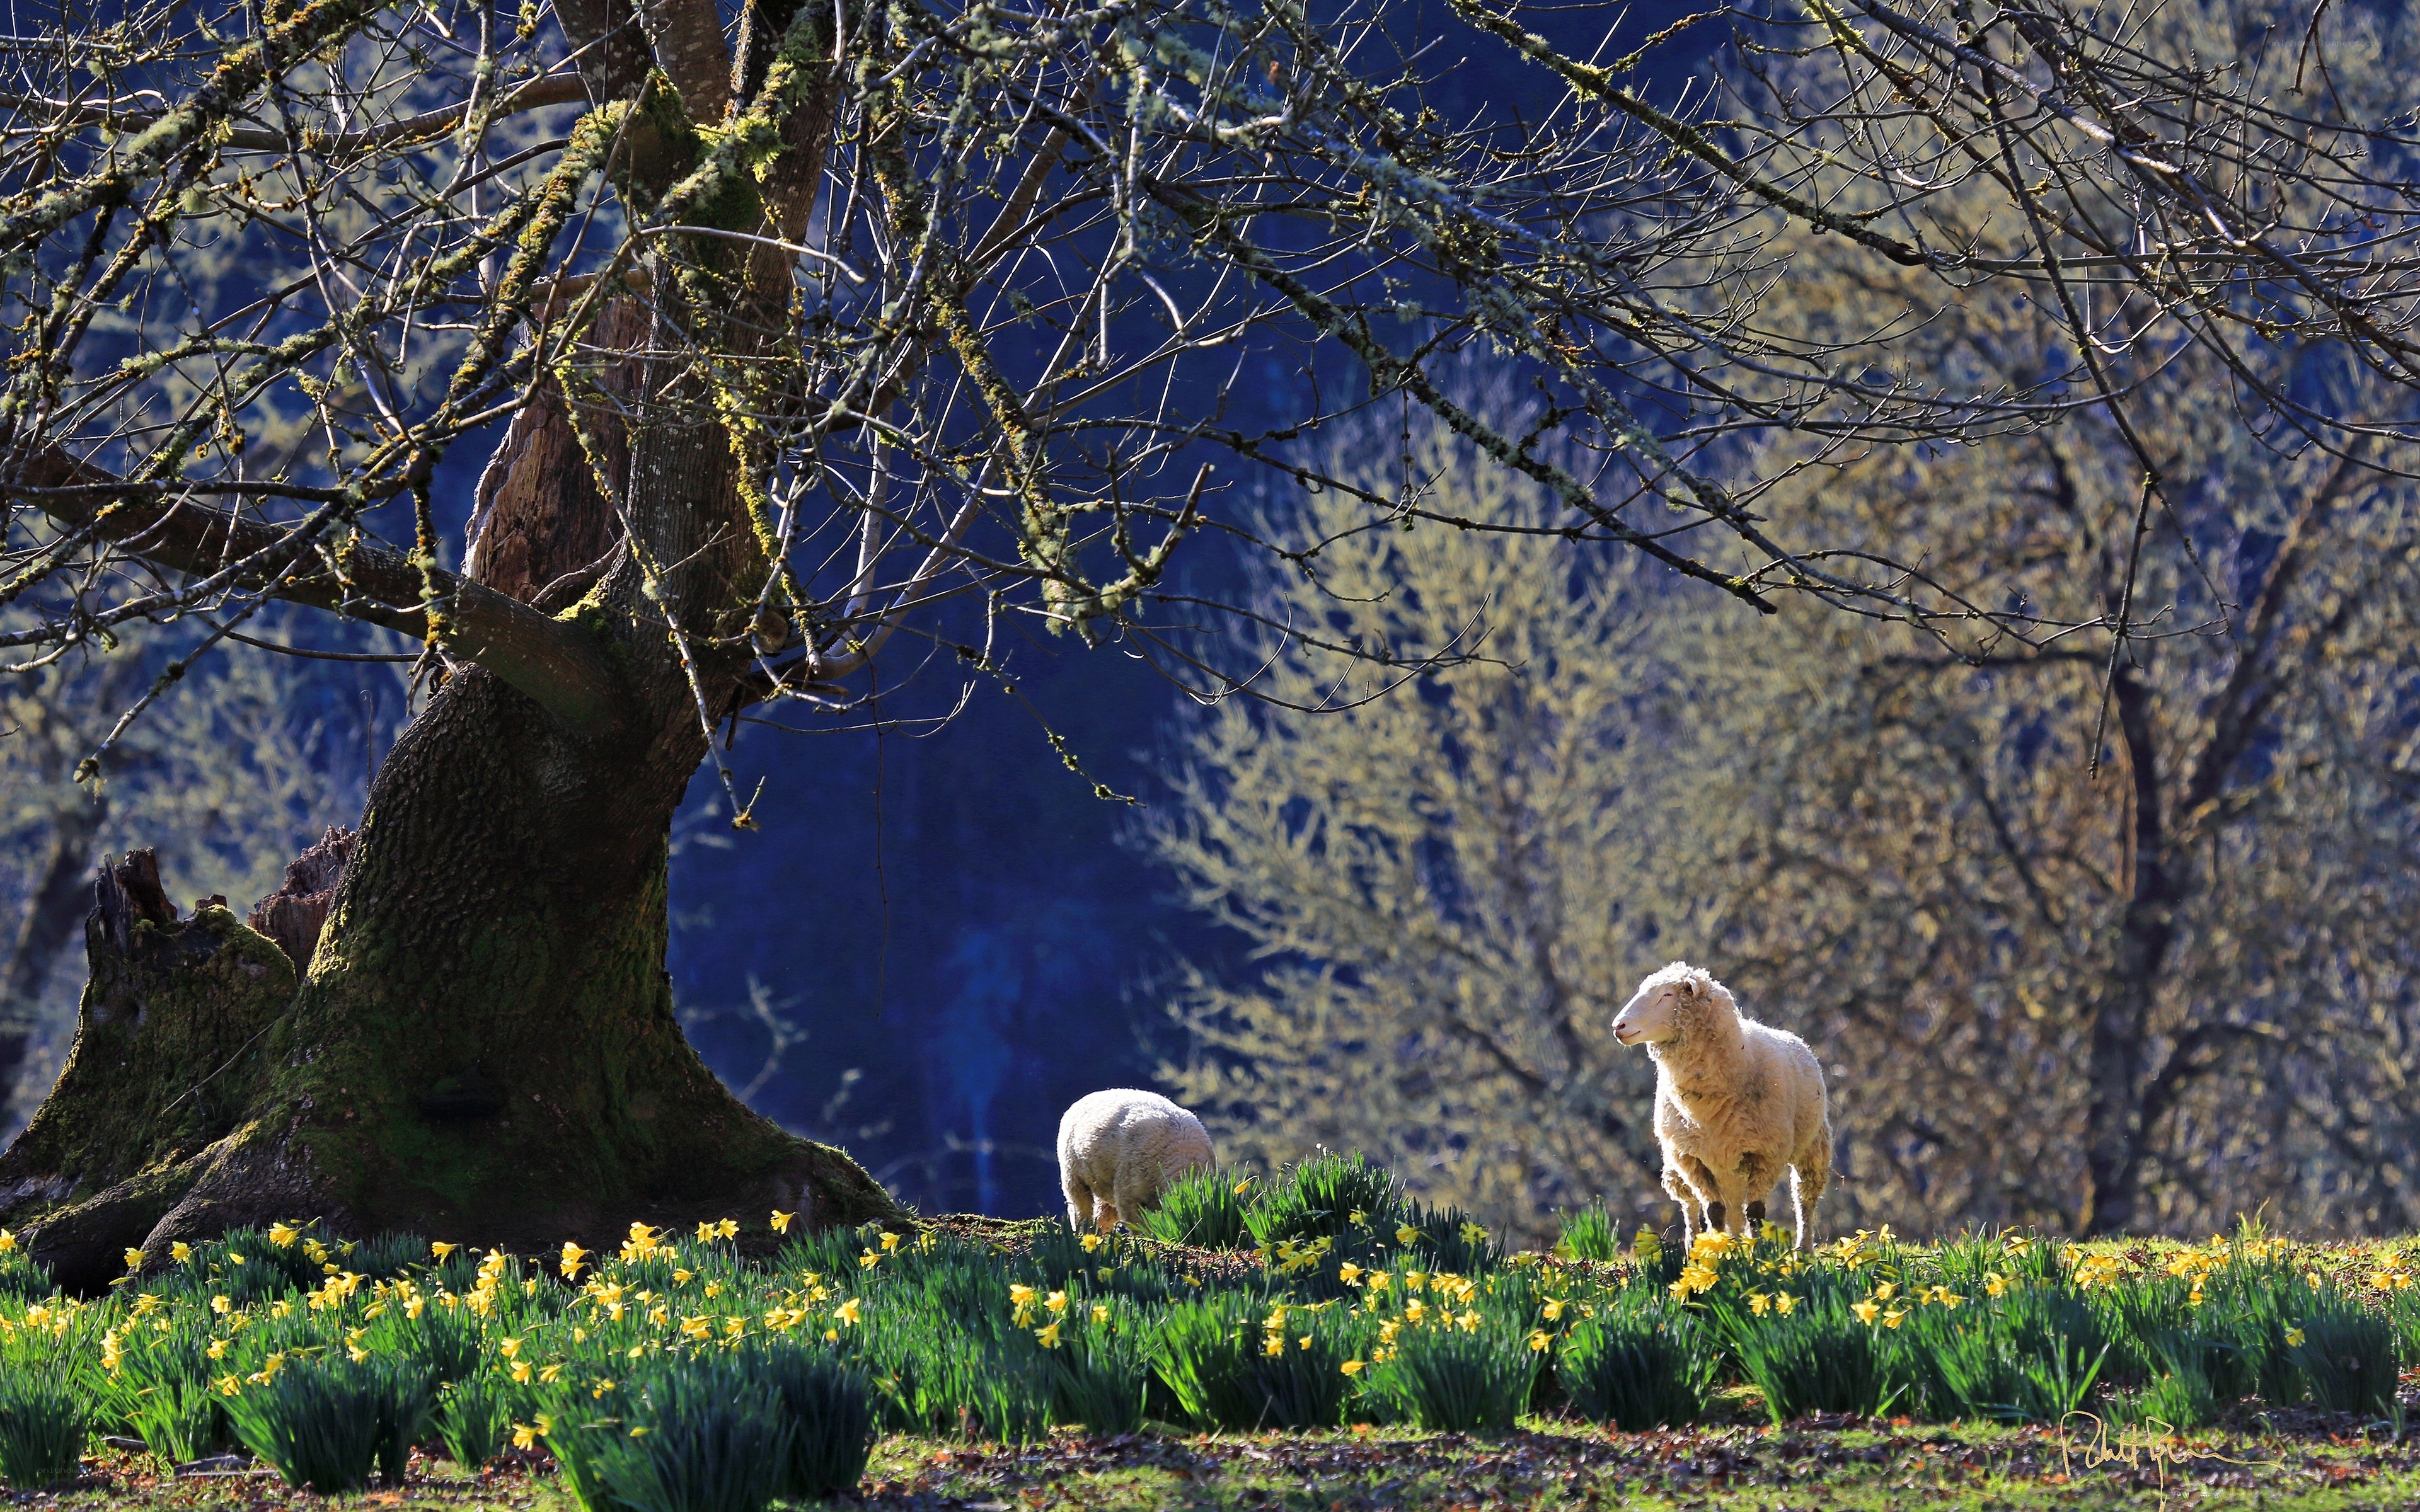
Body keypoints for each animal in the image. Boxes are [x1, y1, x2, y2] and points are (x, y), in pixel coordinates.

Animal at [1611, 962, 1832, 1250]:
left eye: (1667, 995)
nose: (1618, 1026)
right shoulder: (1691, 1159)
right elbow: (1714, 1211)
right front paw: (1719, 1252)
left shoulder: (1767, 1154)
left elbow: (1756, 1212)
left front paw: (1757, 1252)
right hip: (1694, 1165)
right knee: (1695, 1204)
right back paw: (1699, 1245)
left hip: (1811, 1147)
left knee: (1804, 1199)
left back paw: (1802, 1250)